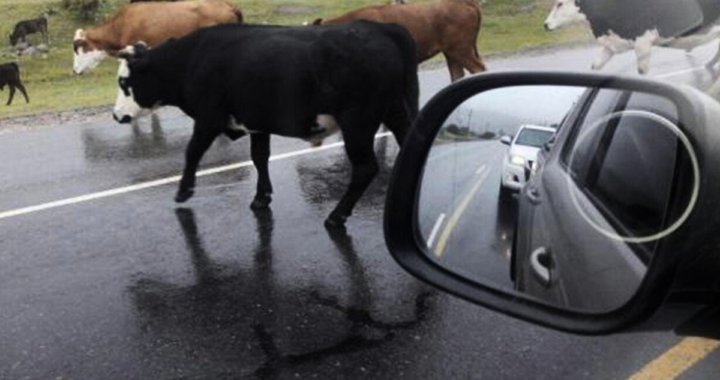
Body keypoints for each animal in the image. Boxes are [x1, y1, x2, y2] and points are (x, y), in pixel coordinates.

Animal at [109, 21, 420, 229]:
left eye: (125, 82)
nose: (115, 115)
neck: (193, 59)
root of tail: (380, 27)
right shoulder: (257, 122)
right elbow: (259, 157)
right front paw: (262, 197)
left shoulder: (209, 118)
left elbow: (193, 151)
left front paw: (183, 191)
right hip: (395, 111)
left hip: (358, 122)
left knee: (365, 168)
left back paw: (336, 215)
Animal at [544, 0, 720, 74]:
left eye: (560, 3)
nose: (545, 24)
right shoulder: (610, 44)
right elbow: (595, 67)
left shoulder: (643, 42)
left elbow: (642, 72)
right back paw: (709, 64)